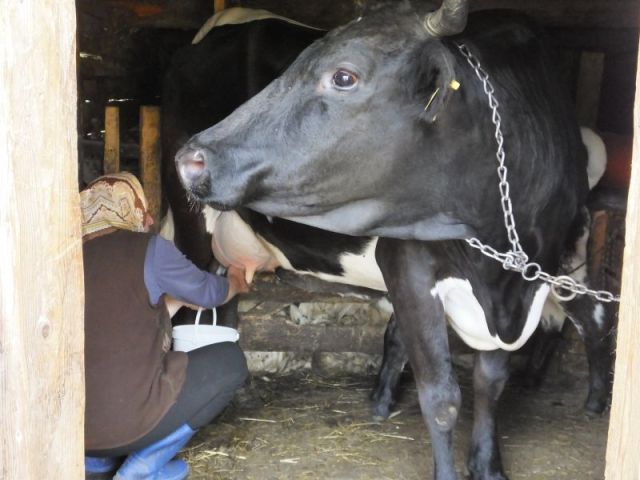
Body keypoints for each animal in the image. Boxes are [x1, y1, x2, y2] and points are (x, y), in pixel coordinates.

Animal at [173, 1, 618, 478]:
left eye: (344, 76)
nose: (192, 159)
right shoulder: (409, 268)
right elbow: (441, 397)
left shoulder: (532, 277)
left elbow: (491, 382)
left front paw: (486, 463)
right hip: (188, 230)